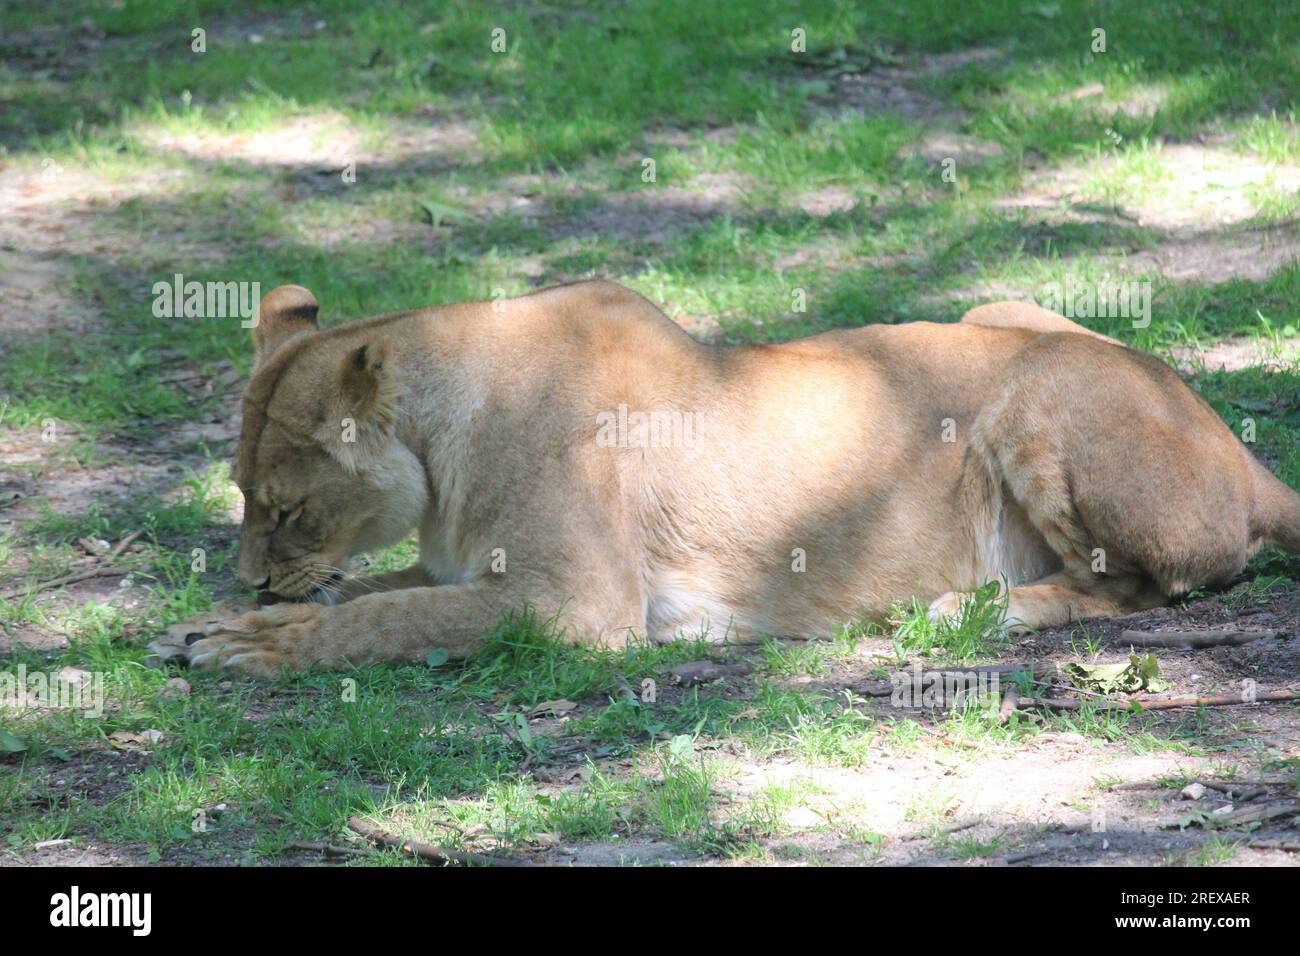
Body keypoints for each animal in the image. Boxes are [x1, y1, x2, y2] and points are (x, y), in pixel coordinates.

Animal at [164, 281, 1300, 677]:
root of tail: (1248, 458)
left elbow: (380, 618)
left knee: (1144, 585)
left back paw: (964, 610)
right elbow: (370, 590)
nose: (248, 575)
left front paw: (246, 642)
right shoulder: (467, 568)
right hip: (1000, 313)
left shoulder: (579, 605)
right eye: (240, 495)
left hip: (1034, 393)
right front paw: (222, 619)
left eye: (284, 506)